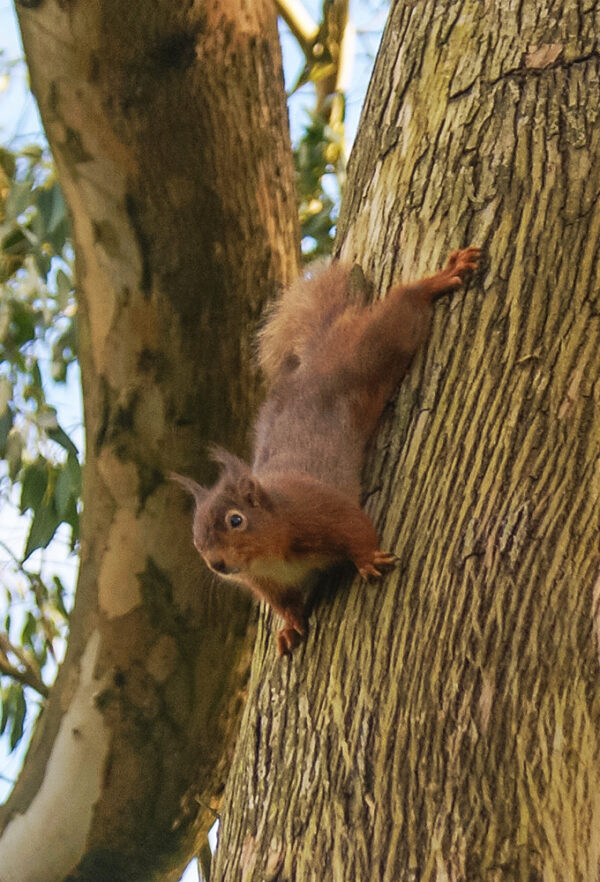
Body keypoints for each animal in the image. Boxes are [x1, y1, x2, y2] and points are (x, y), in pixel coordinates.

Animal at [172, 248, 478, 652]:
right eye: (196, 537)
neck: (269, 554)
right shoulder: (269, 585)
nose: (217, 565)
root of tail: (314, 359)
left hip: (372, 351)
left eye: (236, 520)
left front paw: (368, 560)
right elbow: (286, 604)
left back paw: (441, 278)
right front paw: (288, 627)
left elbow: (355, 526)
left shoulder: (318, 510)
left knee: (401, 305)